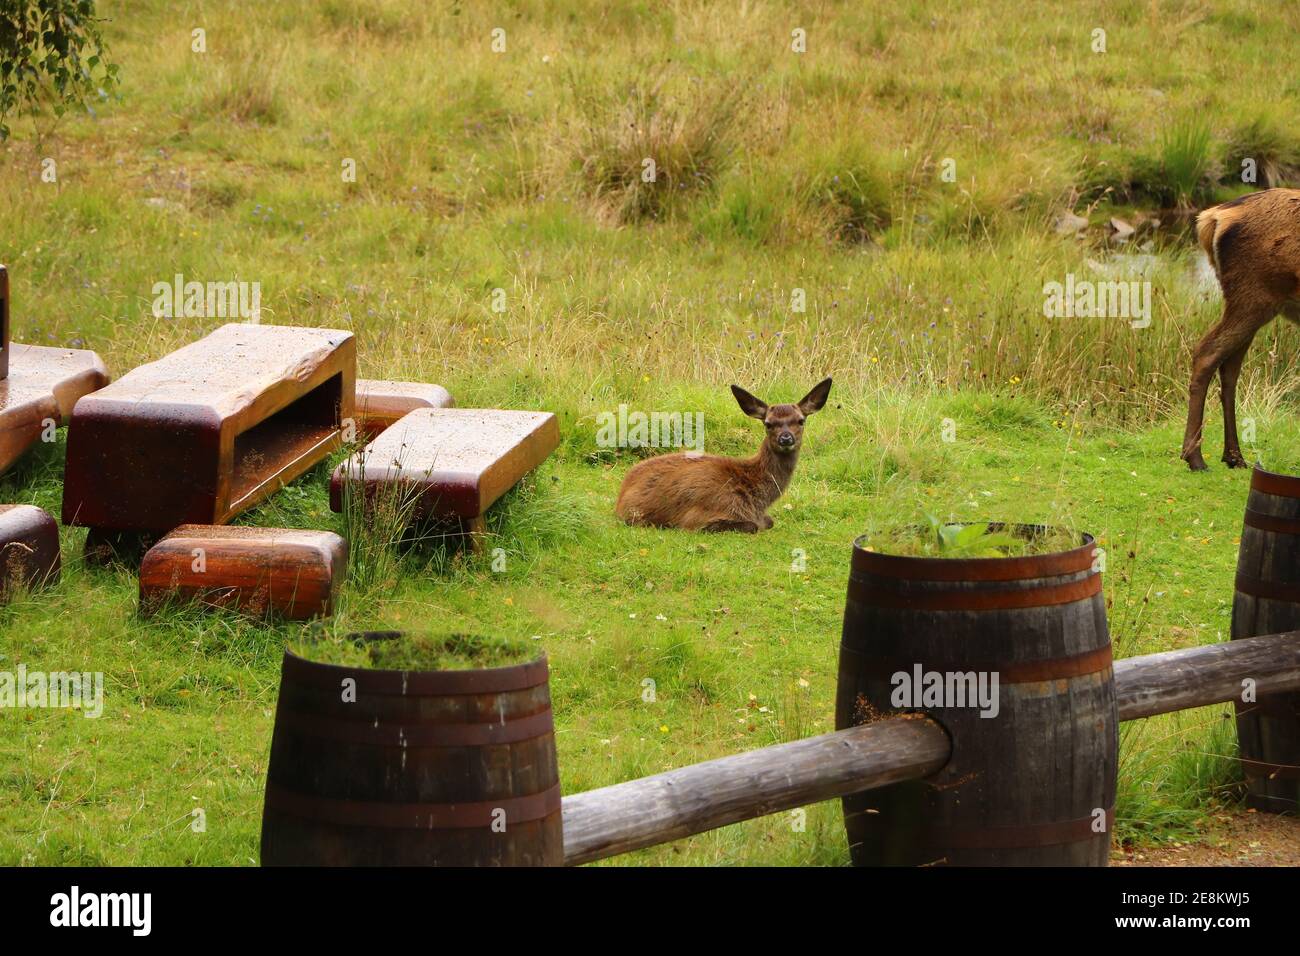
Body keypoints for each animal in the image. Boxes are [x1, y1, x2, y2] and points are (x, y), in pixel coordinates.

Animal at [615, 378, 832, 532]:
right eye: (768, 423)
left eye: (801, 420)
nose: (785, 438)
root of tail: (622, 491)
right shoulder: (698, 517)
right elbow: (753, 526)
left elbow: (770, 521)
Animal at [1182, 187, 1300, 471]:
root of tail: (1212, 217)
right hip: (1253, 297)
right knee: (1207, 353)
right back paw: (1195, 457)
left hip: (1251, 303)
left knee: (1229, 367)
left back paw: (1233, 455)